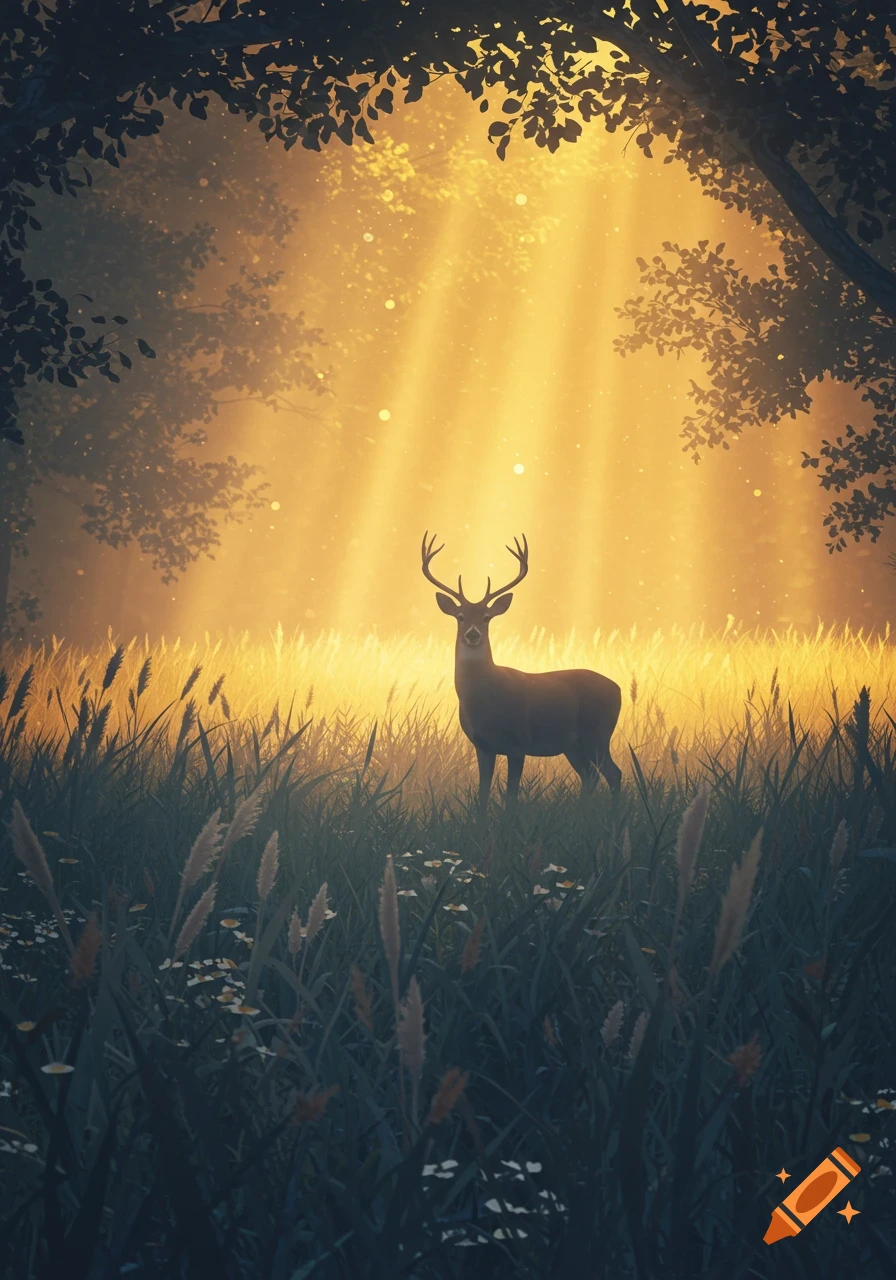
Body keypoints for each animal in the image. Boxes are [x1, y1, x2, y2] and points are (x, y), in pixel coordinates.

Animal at [421, 532, 622, 817]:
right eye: (460, 616)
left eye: (486, 617)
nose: (473, 634)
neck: (484, 698)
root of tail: (618, 688)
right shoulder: (482, 745)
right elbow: (482, 794)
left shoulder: (518, 742)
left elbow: (511, 797)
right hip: (573, 744)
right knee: (590, 776)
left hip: (598, 733)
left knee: (613, 774)